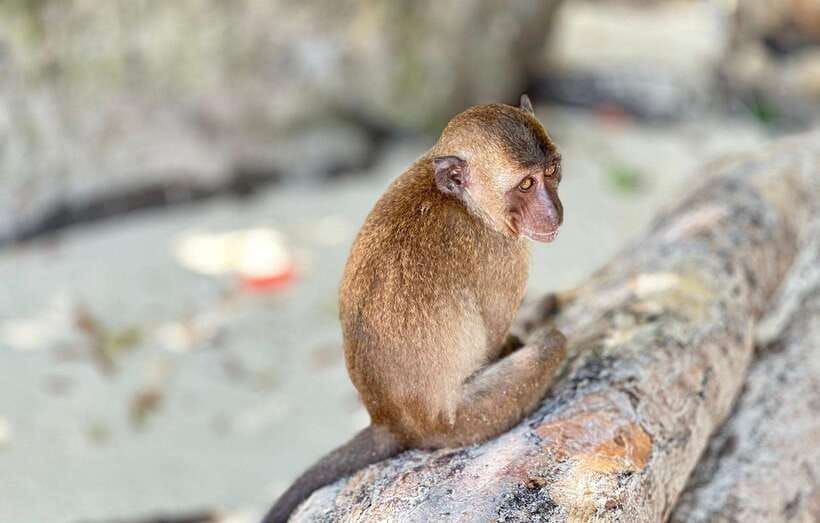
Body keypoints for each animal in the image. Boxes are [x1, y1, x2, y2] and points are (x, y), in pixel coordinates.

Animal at [262, 94, 566, 523]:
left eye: (551, 171)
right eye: (526, 184)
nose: (554, 213)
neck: (463, 202)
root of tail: (391, 422)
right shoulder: (502, 254)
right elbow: (493, 338)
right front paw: (515, 339)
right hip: (456, 424)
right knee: (553, 343)